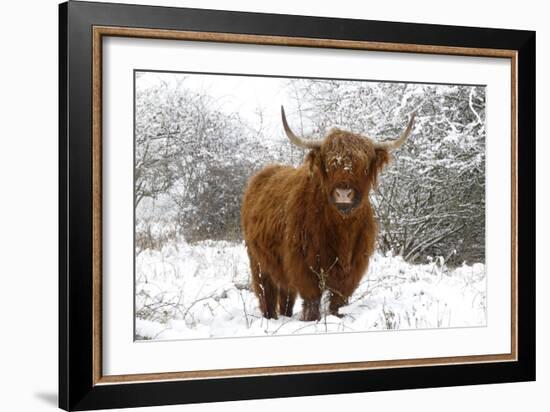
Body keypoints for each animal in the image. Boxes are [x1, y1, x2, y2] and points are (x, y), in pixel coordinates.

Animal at [240, 107, 414, 322]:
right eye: (330, 164)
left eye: (363, 165)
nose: (343, 194)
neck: (342, 229)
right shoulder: (303, 265)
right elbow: (312, 299)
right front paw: (311, 319)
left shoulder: (353, 268)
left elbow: (337, 301)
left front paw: (335, 317)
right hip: (258, 262)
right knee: (267, 293)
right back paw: (270, 318)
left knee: (286, 295)